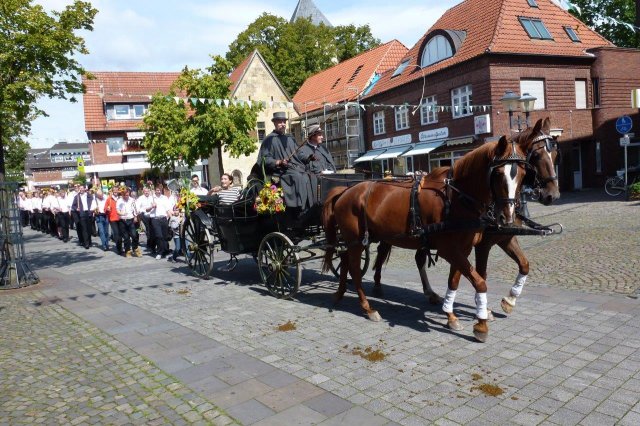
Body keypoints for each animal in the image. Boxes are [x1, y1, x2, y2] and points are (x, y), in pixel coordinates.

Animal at [322, 135, 528, 342]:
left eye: (523, 174)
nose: (507, 217)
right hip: (356, 241)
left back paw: (340, 293)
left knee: (345, 260)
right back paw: (367, 308)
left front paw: (450, 315)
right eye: (499, 173)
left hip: (357, 240)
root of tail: (345, 191)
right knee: (355, 270)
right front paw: (481, 324)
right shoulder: (449, 250)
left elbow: (454, 280)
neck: (455, 198)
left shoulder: (463, 249)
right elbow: (480, 282)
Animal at [370, 116, 560, 316]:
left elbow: (524, 264)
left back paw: (428, 293)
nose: (552, 195)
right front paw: (483, 308)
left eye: (555, 154)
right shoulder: (482, 244)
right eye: (537, 155)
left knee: (416, 258)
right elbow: (481, 273)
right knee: (383, 252)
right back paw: (377, 284)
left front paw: (509, 300)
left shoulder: (504, 237)